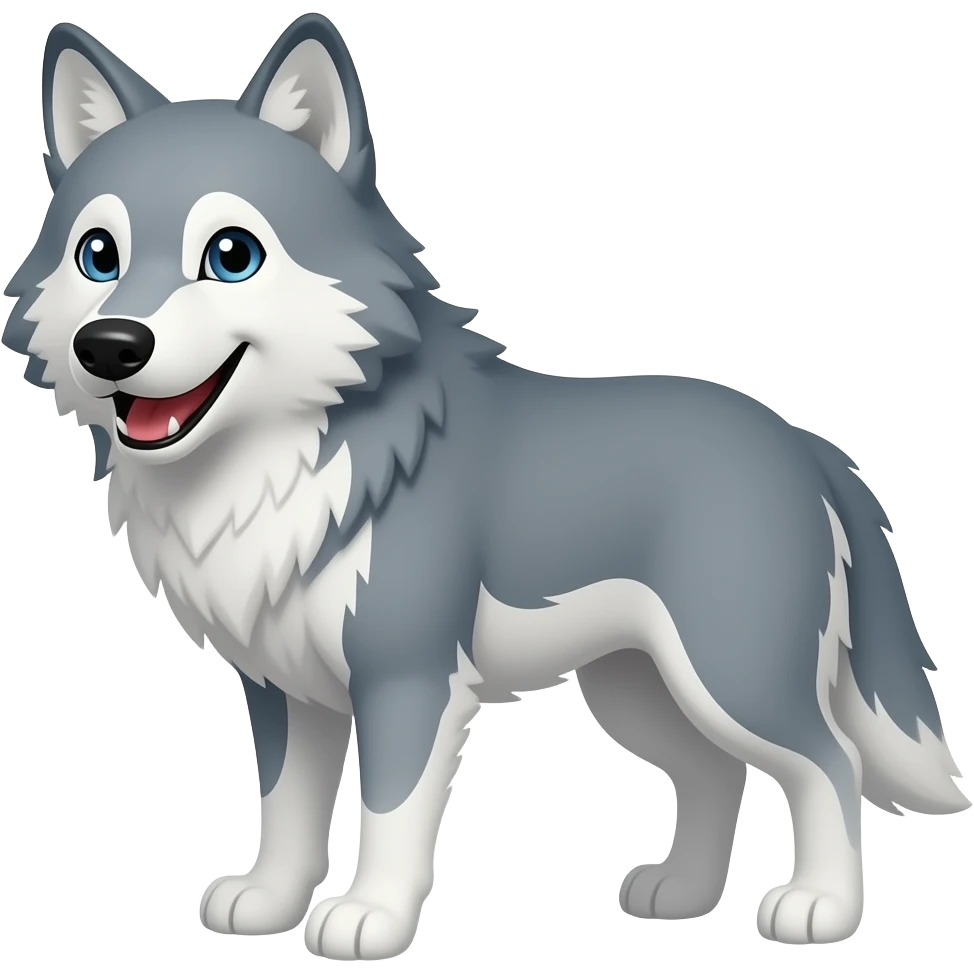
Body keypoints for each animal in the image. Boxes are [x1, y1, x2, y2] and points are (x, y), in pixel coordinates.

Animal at [2, 12, 968, 958]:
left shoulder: (408, 677)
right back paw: (682, 895)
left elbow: (388, 813)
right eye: (97, 255)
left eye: (231, 254)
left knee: (829, 764)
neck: (278, 463)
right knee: (716, 772)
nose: (110, 346)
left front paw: (370, 918)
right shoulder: (283, 686)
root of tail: (804, 441)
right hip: (637, 689)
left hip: (731, 672)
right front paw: (270, 901)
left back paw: (821, 909)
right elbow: (286, 809)